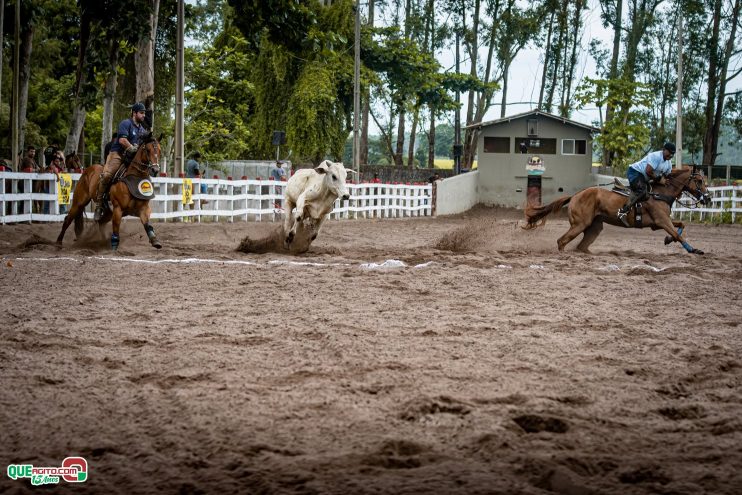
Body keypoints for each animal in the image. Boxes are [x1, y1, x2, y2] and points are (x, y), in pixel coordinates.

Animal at [528, 167, 712, 256]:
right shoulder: (662, 221)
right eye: (699, 180)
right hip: (580, 224)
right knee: (562, 241)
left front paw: (668, 240)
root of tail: (575, 195)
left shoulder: (658, 223)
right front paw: (694, 250)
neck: (660, 192)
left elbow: (681, 226)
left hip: (594, 227)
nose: (708, 198)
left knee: (581, 246)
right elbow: (678, 235)